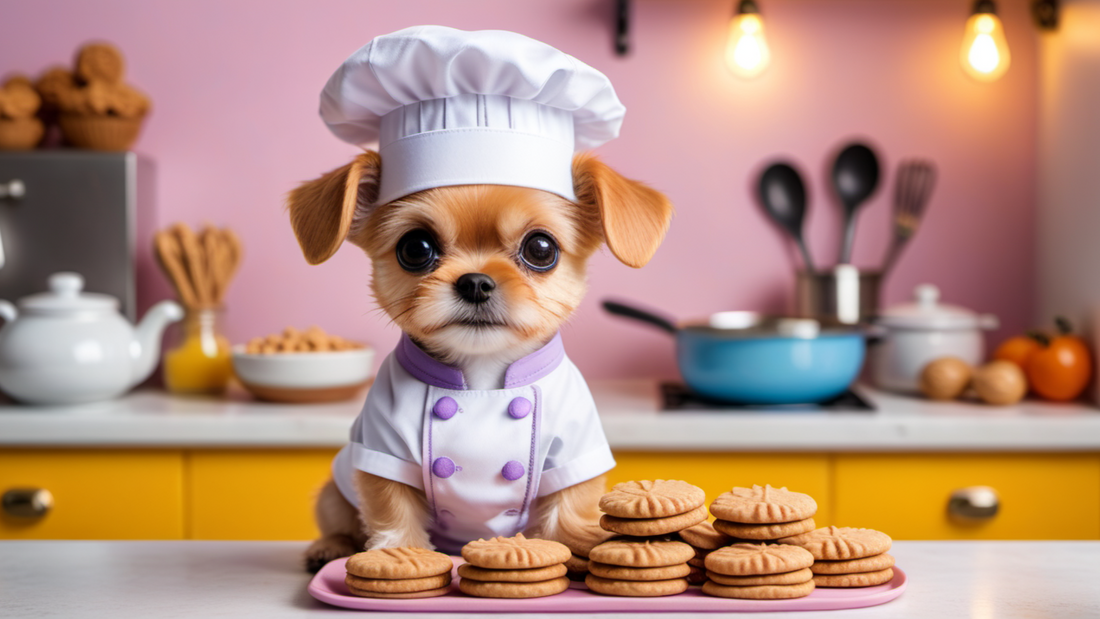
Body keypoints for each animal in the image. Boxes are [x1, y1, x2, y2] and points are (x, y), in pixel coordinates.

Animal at [290, 148, 668, 571]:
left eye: (540, 249)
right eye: (416, 248)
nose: (475, 281)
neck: (481, 383)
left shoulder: (573, 454)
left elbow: (567, 511)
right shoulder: (383, 452)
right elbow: (394, 511)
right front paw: (401, 556)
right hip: (333, 493)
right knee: (338, 521)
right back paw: (329, 547)